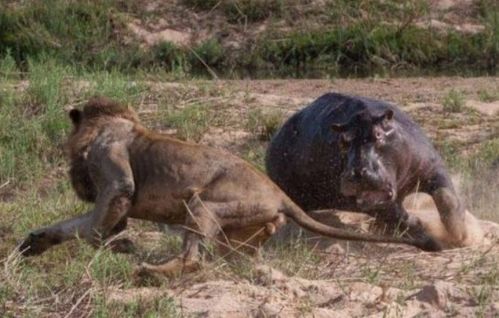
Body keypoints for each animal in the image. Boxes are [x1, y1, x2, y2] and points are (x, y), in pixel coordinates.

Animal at [18, 96, 442, 276]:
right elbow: (70, 226)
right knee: (232, 255)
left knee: (193, 256)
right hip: (242, 229)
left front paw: (119, 246)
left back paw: (152, 271)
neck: (108, 125)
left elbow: (94, 226)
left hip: (204, 204)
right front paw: (34, 243)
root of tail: (279, 193)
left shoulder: (115, 180)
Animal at [266, 92, 472, 251]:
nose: (357, 173)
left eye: (378, 135)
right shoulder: (367, 203)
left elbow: (446, 198)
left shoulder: (432, 167)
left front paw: (460, 235)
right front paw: (423, 226)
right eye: (343, 141)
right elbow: (397, 215)